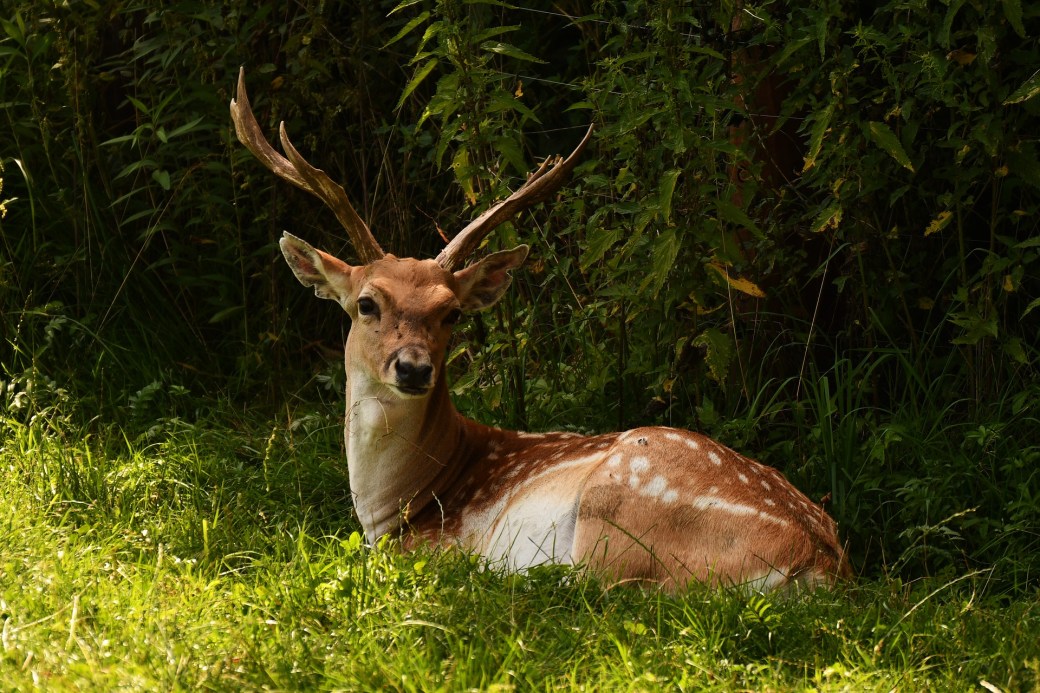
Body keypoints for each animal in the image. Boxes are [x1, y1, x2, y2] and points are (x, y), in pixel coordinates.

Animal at [230, 68, 850, 592]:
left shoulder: (430, 546)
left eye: (452, 312)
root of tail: (817, 562)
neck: (397, 505)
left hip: (616, 513)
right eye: (366, 304)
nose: (413, 367)